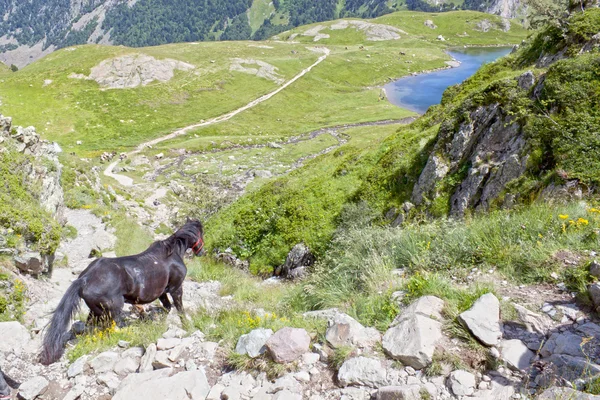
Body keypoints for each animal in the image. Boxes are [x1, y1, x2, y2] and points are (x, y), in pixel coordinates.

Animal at [40, 219, 204, 366]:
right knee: (115, 326)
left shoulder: (162, 292)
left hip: (96, 311)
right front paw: (186, 326)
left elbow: (167, 308)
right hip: (113, 309)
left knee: (92, 327)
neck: (172, 253)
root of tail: (85, 279)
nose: (202, 251)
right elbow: (179, 309)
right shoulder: (176, 288)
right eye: (201, 233)